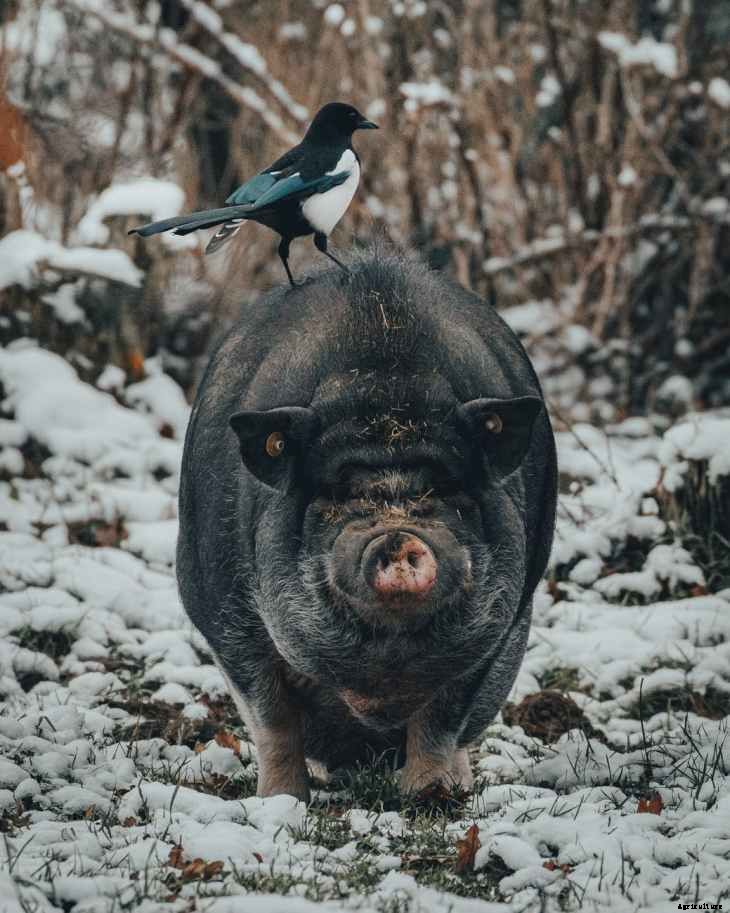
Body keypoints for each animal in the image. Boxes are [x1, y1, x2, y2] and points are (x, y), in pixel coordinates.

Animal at [177, 247, 557, 801]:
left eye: (445, 487)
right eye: (338, 492)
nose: (397, 536)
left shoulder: (498, 628)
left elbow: (443, 718)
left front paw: (430, 796)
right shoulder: (224, 612)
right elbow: (272, 717)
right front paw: (280, 801)